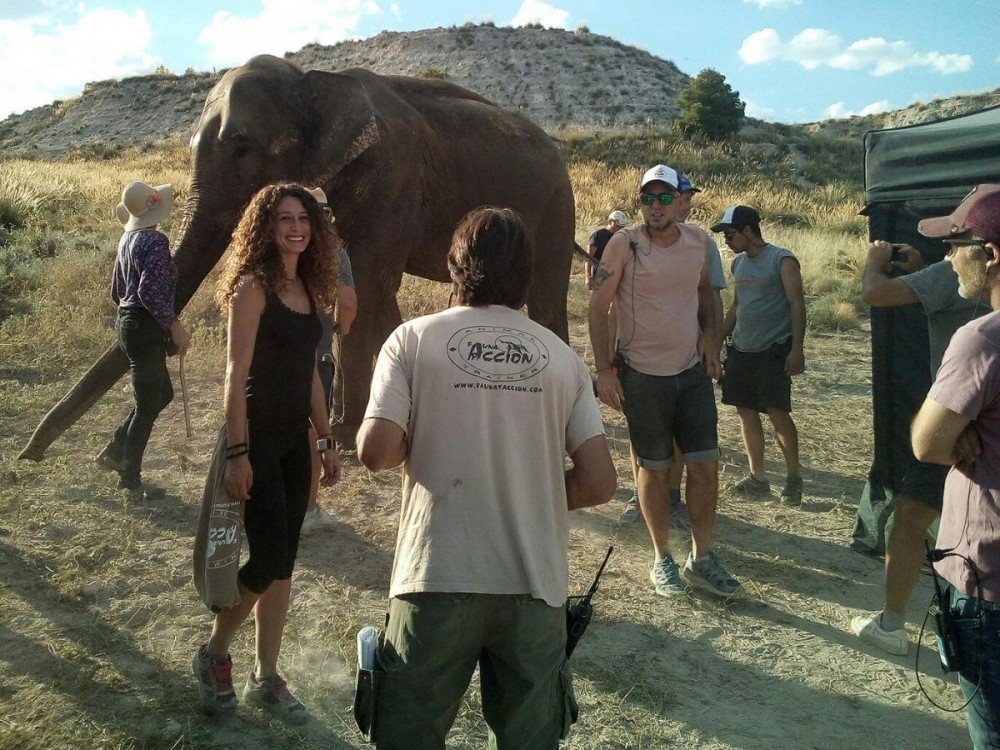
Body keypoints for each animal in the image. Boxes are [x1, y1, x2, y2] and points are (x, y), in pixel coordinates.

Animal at [19, 54, 576, 459]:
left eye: (243, 146)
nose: (29, 455)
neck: (315, 80)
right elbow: (351, 290)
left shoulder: (391, 176)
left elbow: (368, 288)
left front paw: (351, 438)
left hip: (556, 204)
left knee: (547, 299)